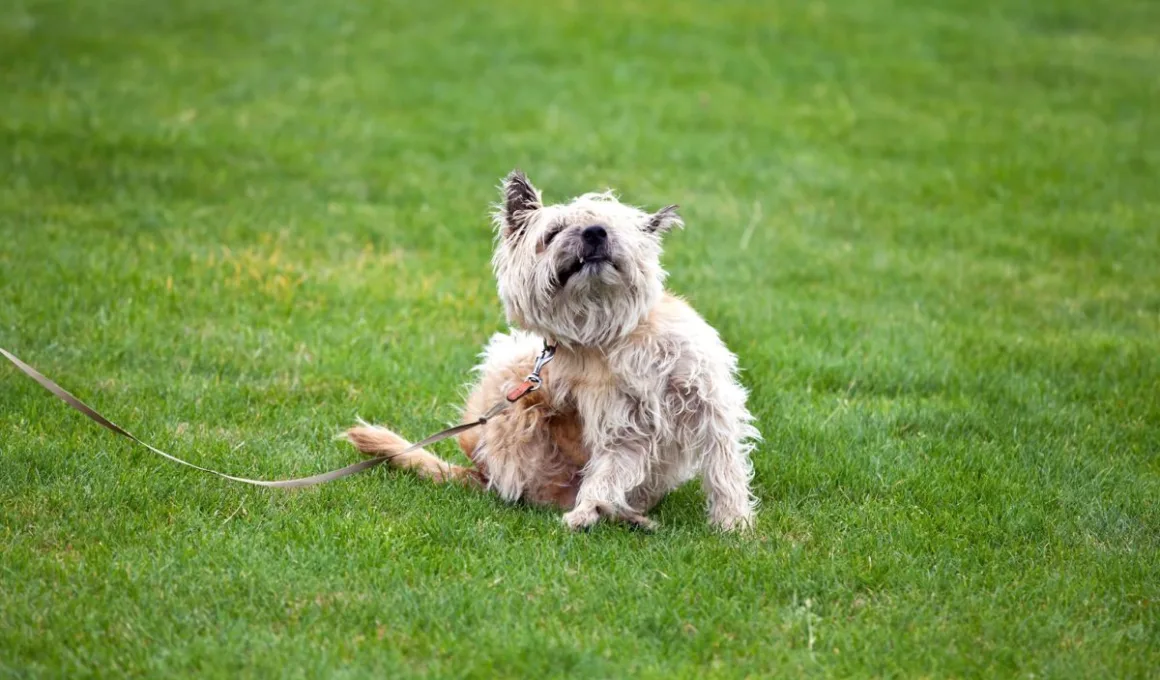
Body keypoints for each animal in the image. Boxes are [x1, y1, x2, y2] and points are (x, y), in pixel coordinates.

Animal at [343, 170, 760, 529]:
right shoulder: (622, 427)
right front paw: (587, 511)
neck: (612, 333)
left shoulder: (707, 402)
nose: (594, 232)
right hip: (509, 375)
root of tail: (480, 475)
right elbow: (608, 472)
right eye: (554, 231)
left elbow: (724, 467)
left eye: (612, 225)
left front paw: (734, 525)